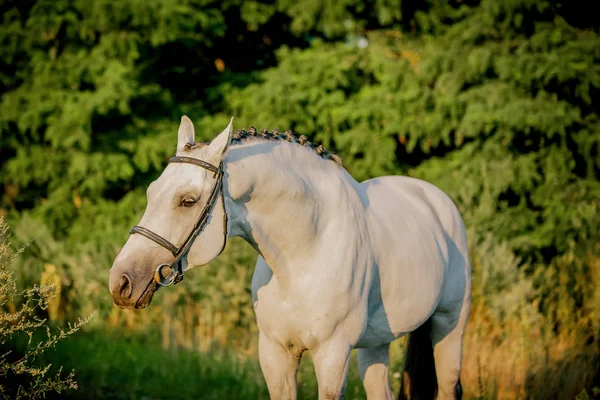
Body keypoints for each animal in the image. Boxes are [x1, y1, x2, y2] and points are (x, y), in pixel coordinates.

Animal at [110, 117, 472, 398]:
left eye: (187, 201)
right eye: (151, 192)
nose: (121, 282)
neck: (303, 256)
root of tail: (434, 199)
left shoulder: (332, 356)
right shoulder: (275, 354)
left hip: (449, 328)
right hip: (376, 344)